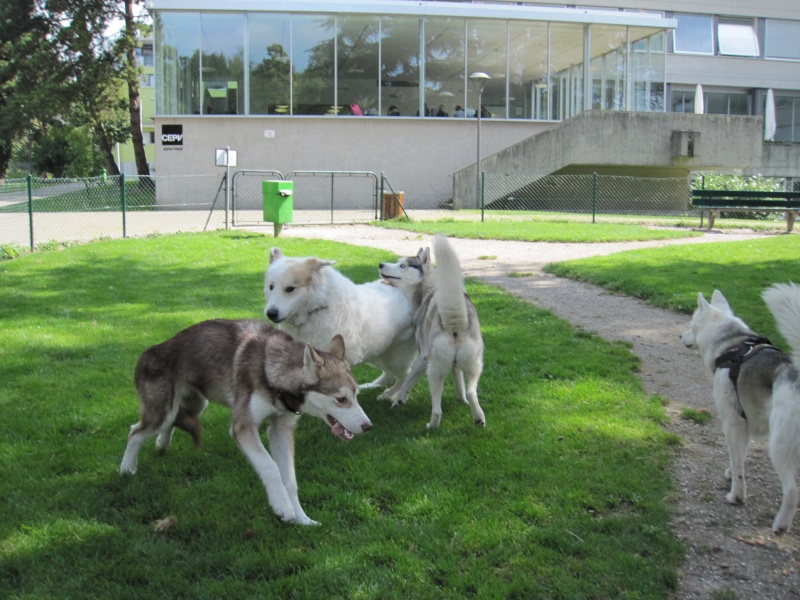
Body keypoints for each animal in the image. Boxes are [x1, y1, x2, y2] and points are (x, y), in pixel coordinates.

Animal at [680, 284, 800, 532]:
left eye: (692, 325)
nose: (680, 336)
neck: (732, 345)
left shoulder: (732, 421)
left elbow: (737, 463)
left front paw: (736, 495)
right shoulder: (745, 422)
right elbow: (737, 457)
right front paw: (730, 474)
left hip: (780, 446)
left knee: (792, 491)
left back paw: (780, 525)